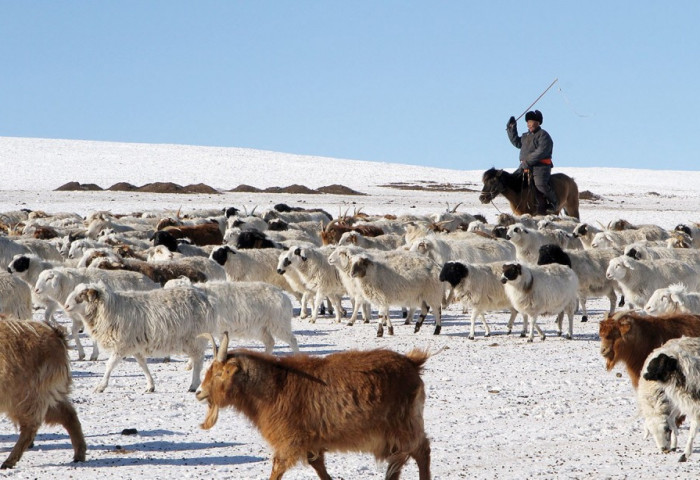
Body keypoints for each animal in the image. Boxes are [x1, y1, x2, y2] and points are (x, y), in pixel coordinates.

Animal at [0, 320, 87, 466]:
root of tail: (55, 334)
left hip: (25, 394)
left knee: (31, 426)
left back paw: (10, 460)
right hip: (47, 394)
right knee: (68, 414)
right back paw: (79, 454)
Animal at [63, 284, 216, 392]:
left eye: (82, 295)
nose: (66, 306)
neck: (110, 308)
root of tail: (203, 297)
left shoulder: (122, 345)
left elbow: (109, 365)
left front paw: (101, 386)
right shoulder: (135, 345)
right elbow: (142, 364)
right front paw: (150, 386)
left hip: (195, 339)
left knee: (198, 361)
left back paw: (193, 385)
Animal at [194, 334, 430, 480]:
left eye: (219, 373)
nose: (199, 392)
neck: (275, 385)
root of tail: (412, 363)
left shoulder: (290, 440)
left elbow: (278, 466)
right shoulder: (311, 441)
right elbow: (318, 466)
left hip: (404, 425)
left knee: (422, 450)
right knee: (400, 460)